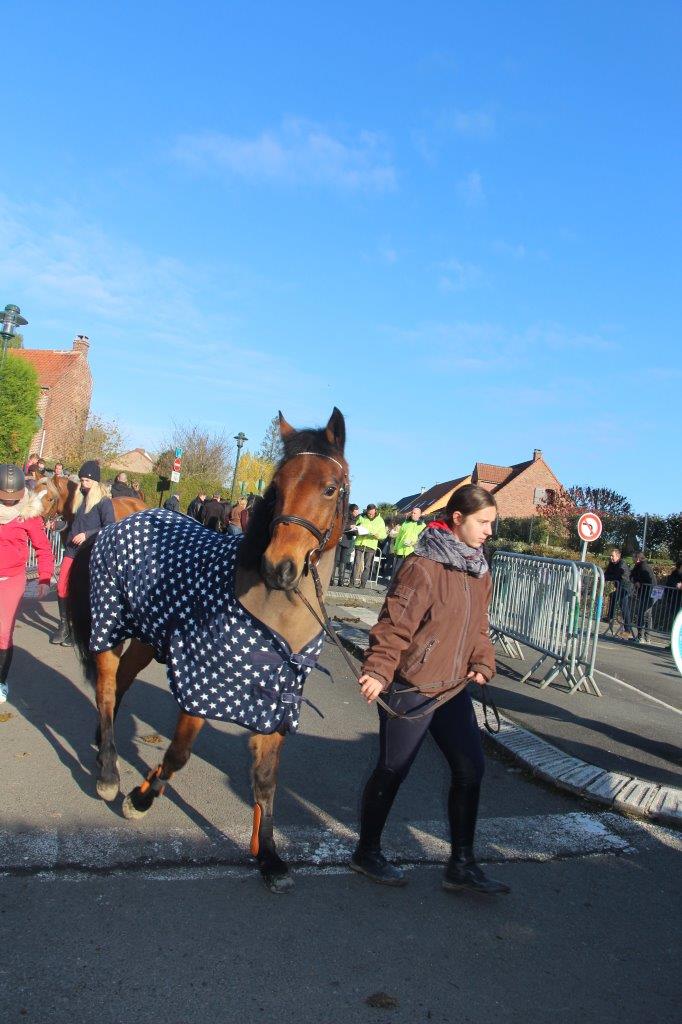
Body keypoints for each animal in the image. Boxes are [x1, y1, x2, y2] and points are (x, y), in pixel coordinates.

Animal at [67, 405, 348, 888]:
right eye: (278, 486)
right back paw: (107, 772)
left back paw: (102, 743)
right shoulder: (201, 684)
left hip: (147, 638)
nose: (280, 567)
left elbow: (266, 779)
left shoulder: (275, 701)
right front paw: (140, 799)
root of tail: (117, 522)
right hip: (108, 625)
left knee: (121, 683)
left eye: (329, 488)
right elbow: (178, 754)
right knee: (105, 686)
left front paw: (269, 857)